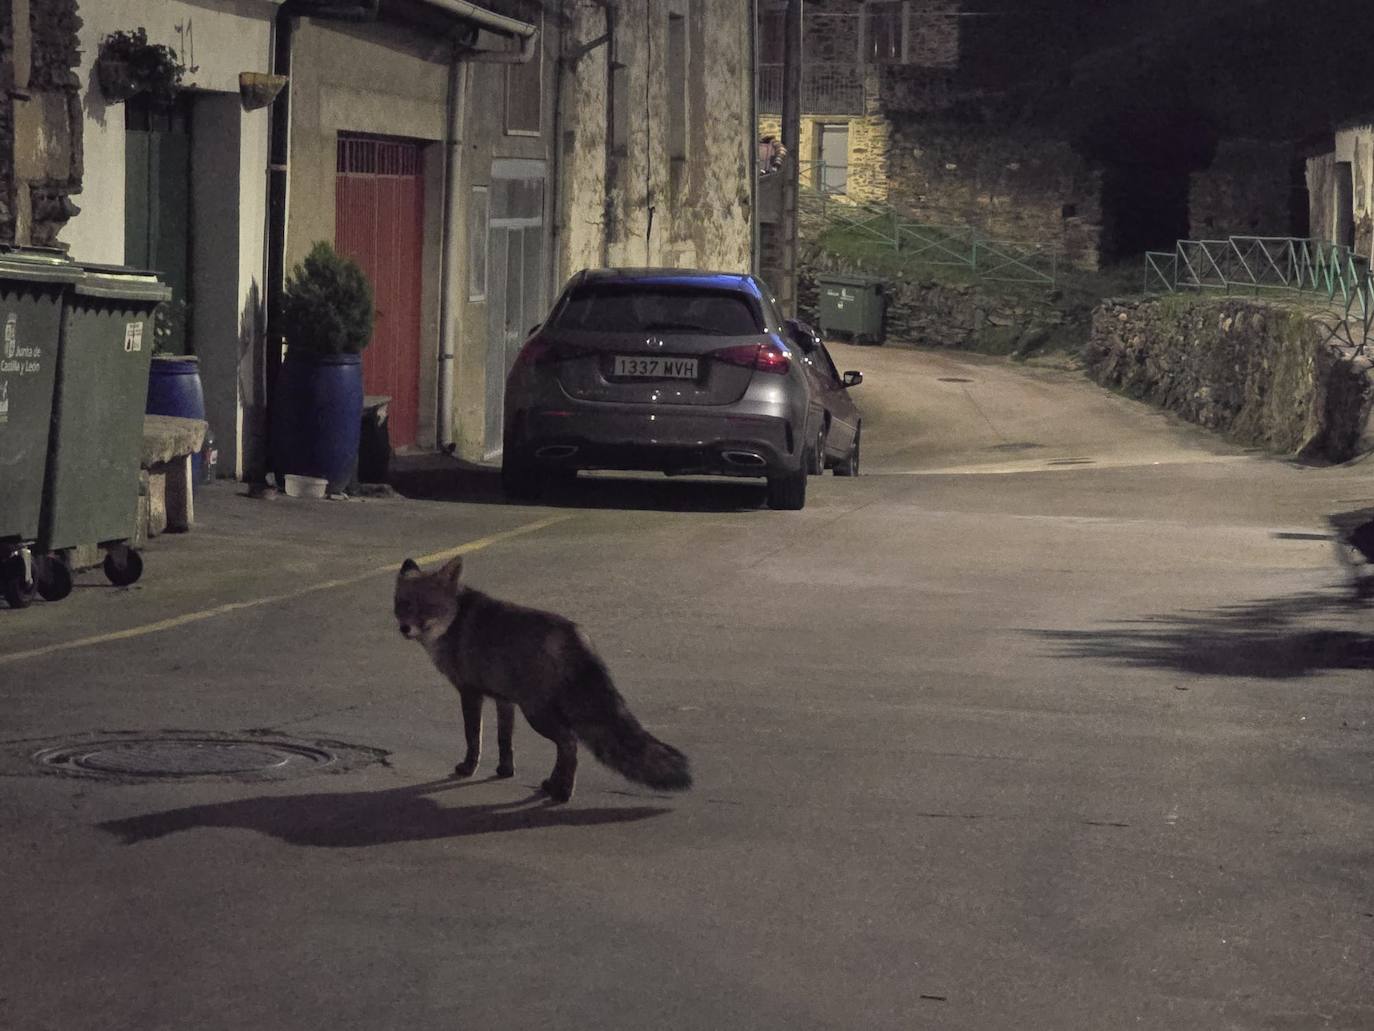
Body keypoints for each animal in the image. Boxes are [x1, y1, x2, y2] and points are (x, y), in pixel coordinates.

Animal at [392, 558, 692, 808]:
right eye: (403, 604)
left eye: (427, 607)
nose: (404, 629)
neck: (454, 621)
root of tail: (575, 635)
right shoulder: (504, 698)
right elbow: (504, 740)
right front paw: (505, 771)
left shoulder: (470, 693)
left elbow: (473, 737)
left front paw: (468, 768)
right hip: (541, 710)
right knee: (566, 745)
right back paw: (552, 784)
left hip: (537, 714)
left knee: (569, 743)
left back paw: (563, 792)